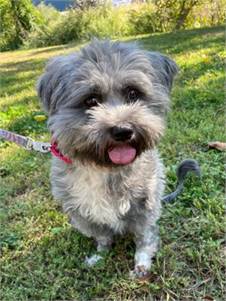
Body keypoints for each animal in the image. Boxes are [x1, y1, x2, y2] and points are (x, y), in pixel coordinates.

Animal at [35, 39, 198, 276]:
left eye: (133, 93)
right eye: (91, 100)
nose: (123, 130)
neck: (105, 168)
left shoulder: (144, 206)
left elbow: (144, 238)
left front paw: (142, 263)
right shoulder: (85, 213)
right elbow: (103, 237)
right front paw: (100, 256)